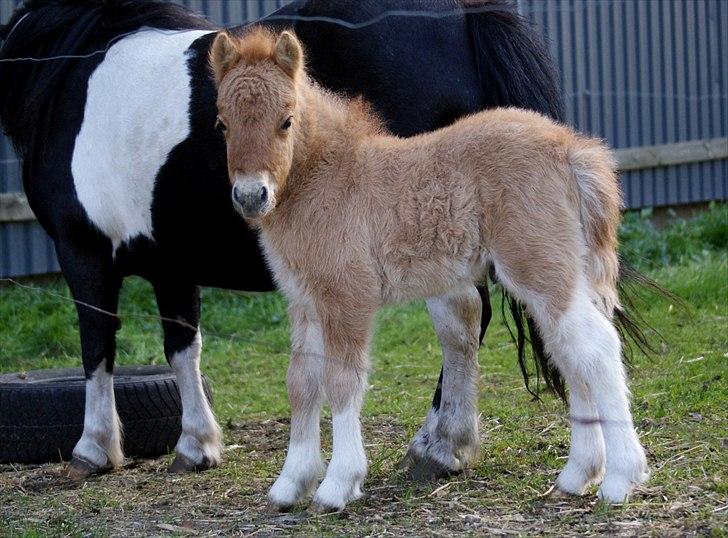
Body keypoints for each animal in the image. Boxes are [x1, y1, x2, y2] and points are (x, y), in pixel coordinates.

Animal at [210, 29, 648, 510]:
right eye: (222, 123)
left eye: (286, 120)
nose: (251, 196)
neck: (326, 179)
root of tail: (569, 147)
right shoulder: (304, 301)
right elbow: (301, 383)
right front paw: (291, 484)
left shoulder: (347, 297)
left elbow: (342, 382)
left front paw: (338, 485)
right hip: (555, 275)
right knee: (570, 351)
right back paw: (578, 474)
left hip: (541, 270)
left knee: (597, 347)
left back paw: (621, 479)